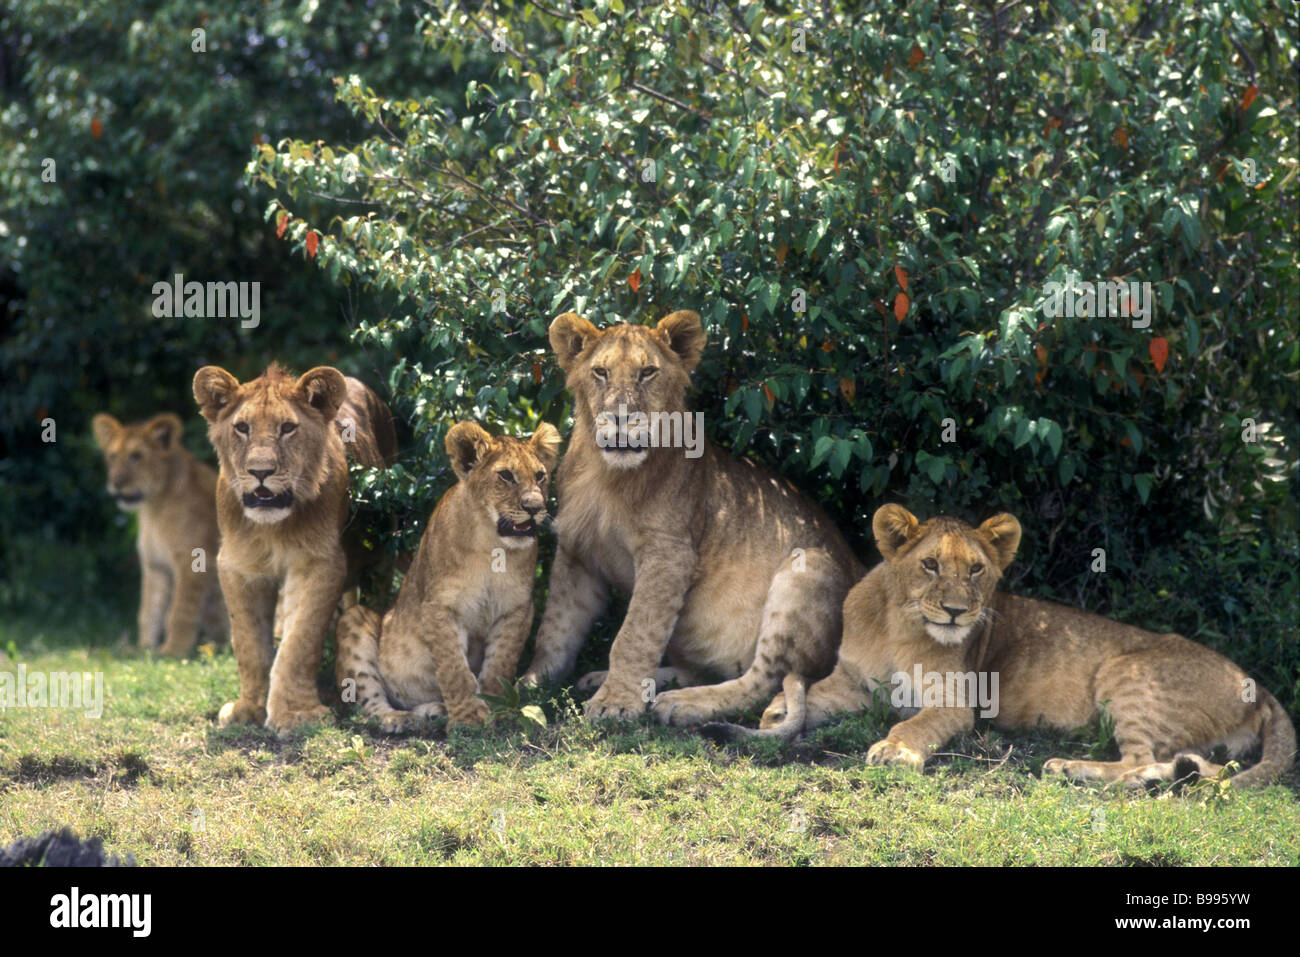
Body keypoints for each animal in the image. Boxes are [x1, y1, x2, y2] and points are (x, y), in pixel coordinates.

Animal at [91, 410, 227, 657]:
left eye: (136, 456)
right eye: (113, 456)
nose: (116, 483)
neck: (153, 509)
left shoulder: (193, 561)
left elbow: (180, 611)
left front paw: (173, 651)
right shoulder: (155, 565)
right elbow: (148, 611)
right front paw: (143, 649)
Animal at [192, 364, 395, 733]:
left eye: (287, 428)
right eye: (242, 428)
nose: (260, 472)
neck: (273, 528)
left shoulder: (319, 563)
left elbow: (300, 641)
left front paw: (296, 714)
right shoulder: (238, 565)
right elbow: (249, 643)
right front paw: (250, 707)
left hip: (382, 558)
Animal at [335, 421, 559, 728]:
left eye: (540, 476)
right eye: (506, 476)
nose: (535, 508)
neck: (492, 545)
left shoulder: (517, 608)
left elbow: (499, 663)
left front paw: (495, 708)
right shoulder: (440, 607)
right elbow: (454, 669)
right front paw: (468, 717)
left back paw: (433, 711)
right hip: (357, 618)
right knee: (370, 705)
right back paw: (401, 719)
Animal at [728, 504, 1294, 790]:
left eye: (977, 569)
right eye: (930, 565)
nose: (957, 611)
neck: (899, 627)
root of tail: (1258, 686)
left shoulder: (956, 703)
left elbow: (915, 723)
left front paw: (895, 750)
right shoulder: (853, 684)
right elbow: (807, 694)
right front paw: (776, 714)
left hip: (1128, 675)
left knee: (1140, 762)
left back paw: (1072, 768)